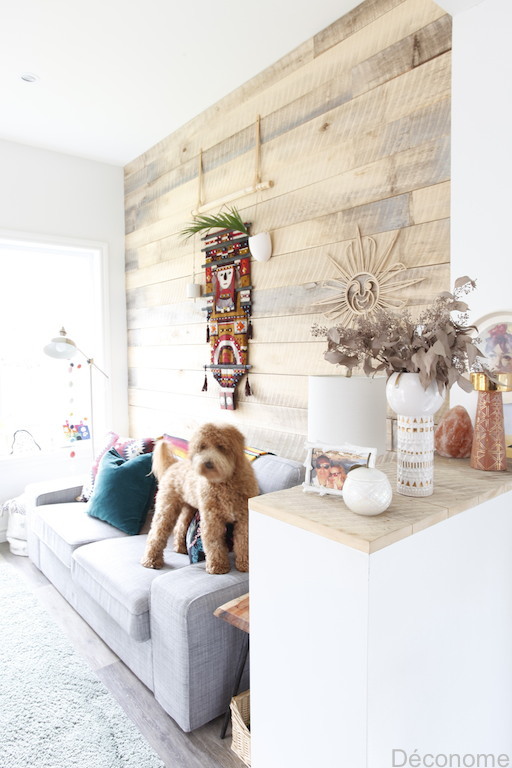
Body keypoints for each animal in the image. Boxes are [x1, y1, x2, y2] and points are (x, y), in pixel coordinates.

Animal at [140, 424, 258, 572]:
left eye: (221, 446)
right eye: (202, 447)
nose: (207, 463)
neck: (224, 482)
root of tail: (173, 465)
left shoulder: (244, 519)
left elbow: (244, 541)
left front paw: (245, 564)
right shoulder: (212, 519)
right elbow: (214, 543)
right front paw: (218, 566)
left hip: (188, 508)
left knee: (179, 528)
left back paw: (180, 548)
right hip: (166, 508)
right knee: (156, 533)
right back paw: (151, 560)